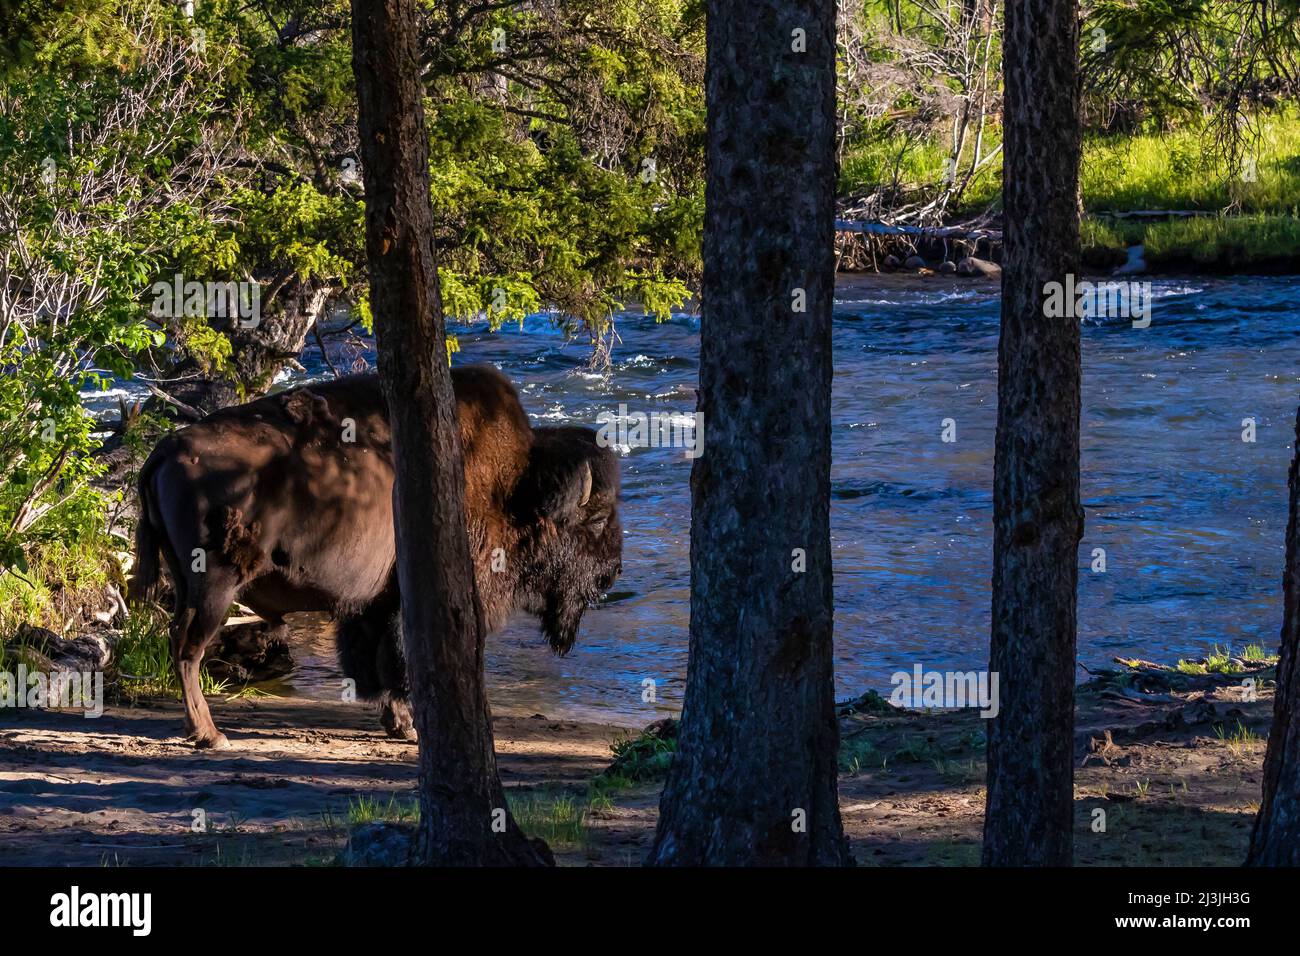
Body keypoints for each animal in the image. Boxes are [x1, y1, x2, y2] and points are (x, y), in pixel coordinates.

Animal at [131, 364, 624, 749]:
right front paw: (411, 727)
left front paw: (397, 724)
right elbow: (400, 662)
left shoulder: (374, 605)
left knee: (178, 641)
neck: (513, 487)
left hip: (185, 578)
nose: (612, 573)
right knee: (187, 646)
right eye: (598, 519)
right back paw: (210, 734)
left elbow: (373, 663)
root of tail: (164, 450)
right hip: (215, 583)